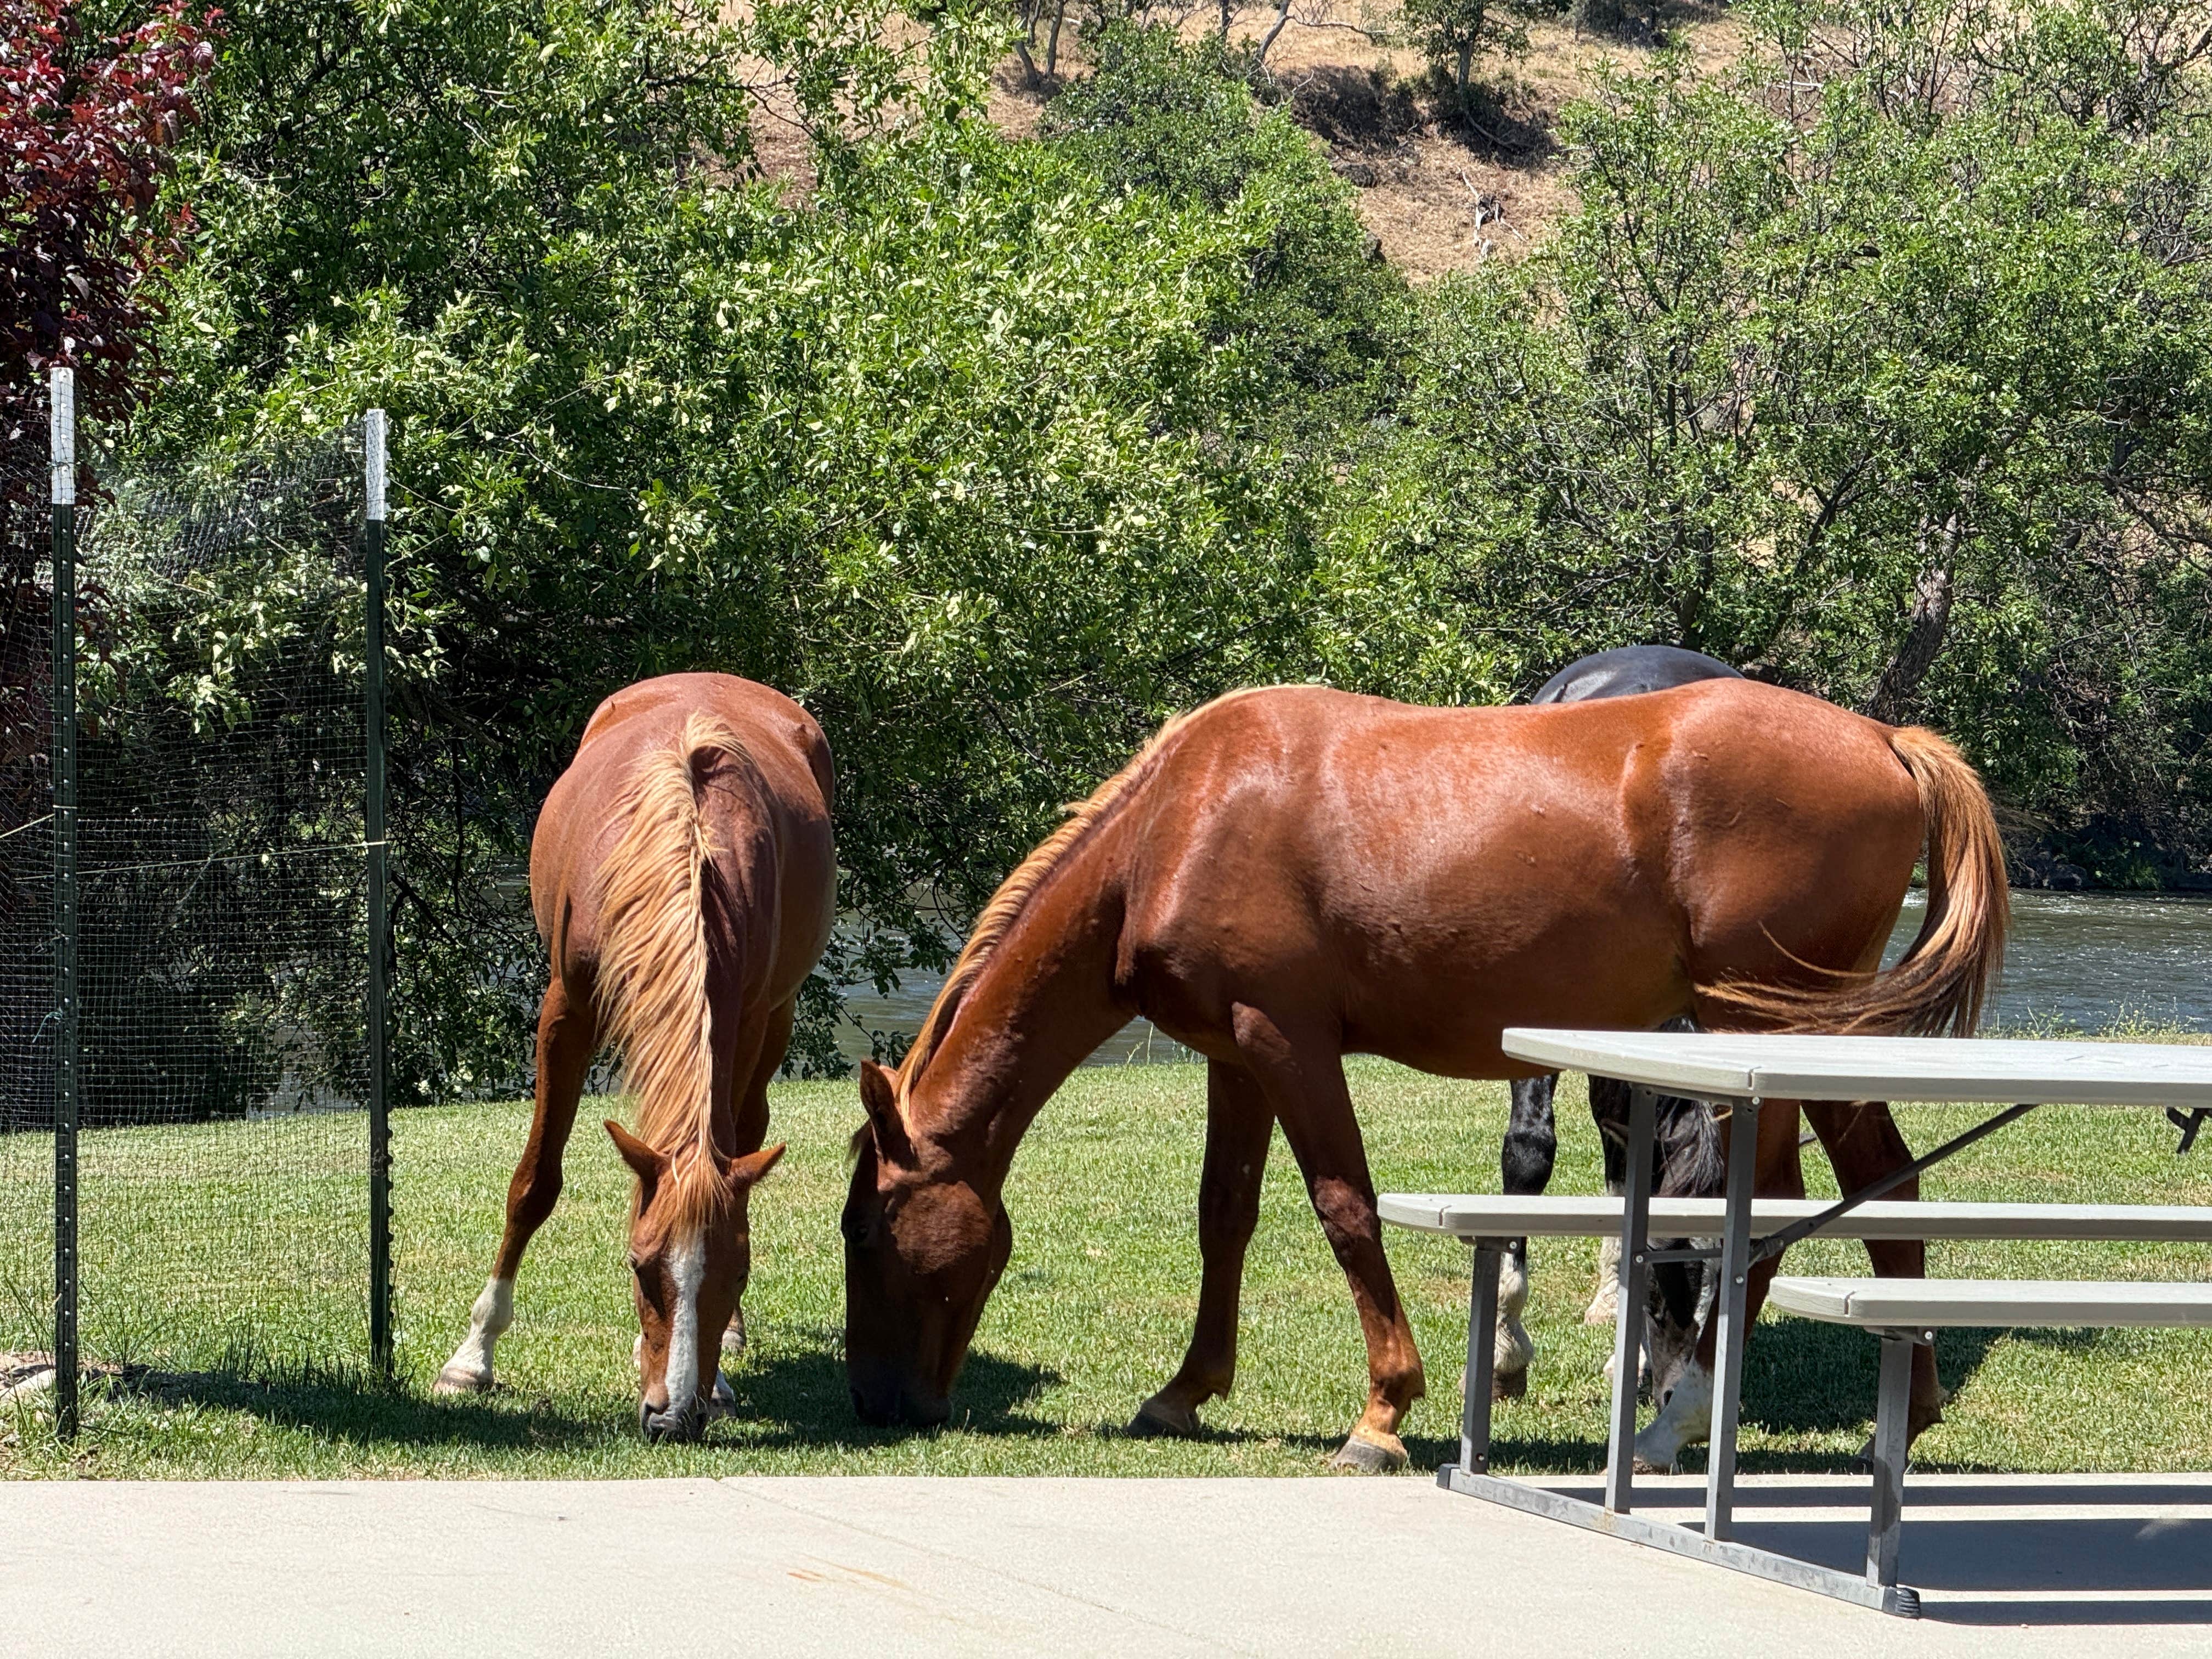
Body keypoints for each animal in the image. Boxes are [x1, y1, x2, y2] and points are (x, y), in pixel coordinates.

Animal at [436, 672, 835, 1441]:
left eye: (738, 1272)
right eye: (639, 1265)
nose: (673, 1416)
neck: (684, 846)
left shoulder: (740, 1022)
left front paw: (720, 1371)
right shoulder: (565, 1014)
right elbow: (535, 1184)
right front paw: (473, 1357)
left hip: (776, 1019)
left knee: (752, 1124)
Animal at [841, 678, 2004, 1473]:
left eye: (864, 1229)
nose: (877, 1402)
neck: (1174, 824)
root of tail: (1888, 741)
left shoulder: (1287, 1041)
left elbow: (1344, 1205)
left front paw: (1382, 1410)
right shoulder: (1233, 1056)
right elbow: (1225, 1215)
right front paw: (1186, 1388)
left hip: (1753, 1022)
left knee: (1776, 1202)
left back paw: (1679, 1414)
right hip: (1807, 1033)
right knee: (1884, 1185)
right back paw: (1904, 1408)